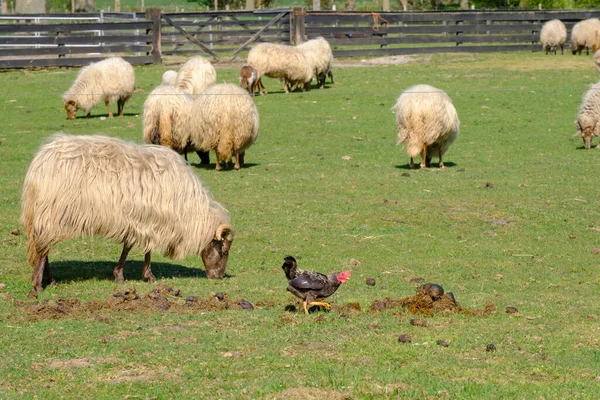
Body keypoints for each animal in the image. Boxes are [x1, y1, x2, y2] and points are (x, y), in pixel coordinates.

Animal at [21, 134, 233, 296]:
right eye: (224, 251)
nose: (218, 277)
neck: (190, 208)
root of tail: (40, 162)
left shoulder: (138, 220)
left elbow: (130, 246)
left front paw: (120, 274)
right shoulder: (152, 221)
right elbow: (145, 249)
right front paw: (147, 275)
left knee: (43, 248)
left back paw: (50, 279)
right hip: (51, 215)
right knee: (42, 250)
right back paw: (38, 285)